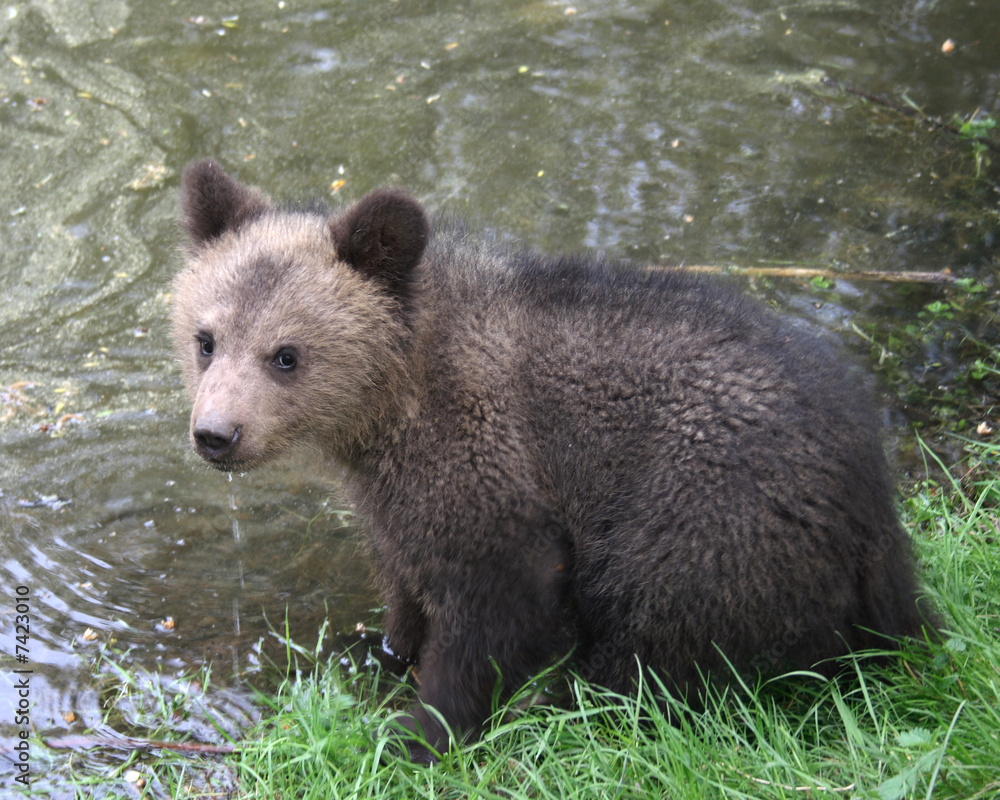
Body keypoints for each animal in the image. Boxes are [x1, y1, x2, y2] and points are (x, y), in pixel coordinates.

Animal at [172, 158, 933, 761]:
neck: (394, 403)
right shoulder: (396, 493)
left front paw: (420, 730)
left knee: (659, 628)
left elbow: (500, 606)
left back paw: (577, 699)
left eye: (286, 354)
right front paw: (376, 647)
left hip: (709, 509)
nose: (216, 434)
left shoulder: (493, 470)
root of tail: (873, 494)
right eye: (206, 338)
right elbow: (403, 574)